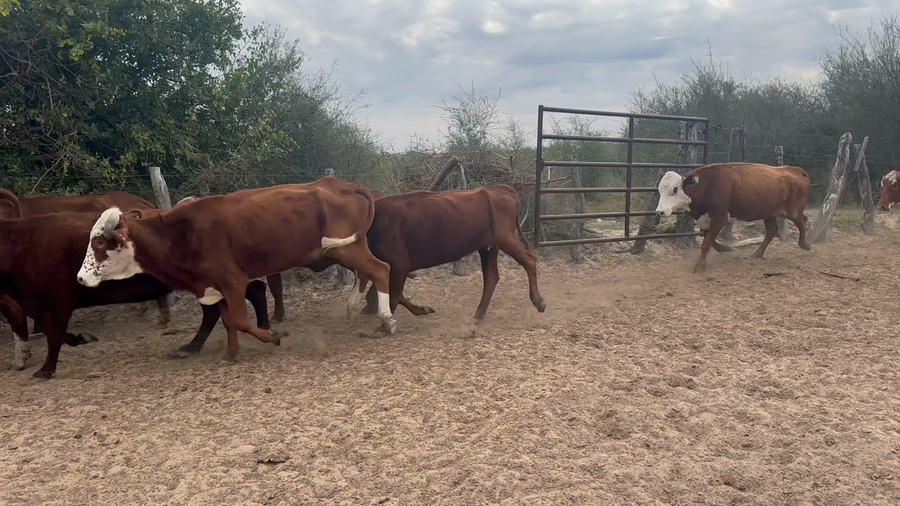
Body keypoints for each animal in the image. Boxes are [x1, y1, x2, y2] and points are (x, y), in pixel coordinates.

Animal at [77, 177, 396, 363]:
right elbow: (229, 321)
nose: (80, 277)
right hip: (346, 248)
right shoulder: (215, 286)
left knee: (380, 270)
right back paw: (355, 308)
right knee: (367, 273)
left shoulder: (232, 281)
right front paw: (232, 353)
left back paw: (387, 320)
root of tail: (343, 185)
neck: (180, 234)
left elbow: (241, 320)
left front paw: (272, 335)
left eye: (100, 241)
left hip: (346, 248)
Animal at [655, 162, 811, 272]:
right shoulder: (705, 220)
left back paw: (805, 245)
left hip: (793, 211)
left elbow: (706, 243)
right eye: (659, 190)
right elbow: (709, 240)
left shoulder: (719, 218)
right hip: (769, 213)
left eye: (675, 189)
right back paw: (757, 253)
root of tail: (795, 170)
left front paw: (700, 266)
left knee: (803, 221)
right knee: (771, 231)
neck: (707, 185)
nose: (660, 211)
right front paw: (724, 248)